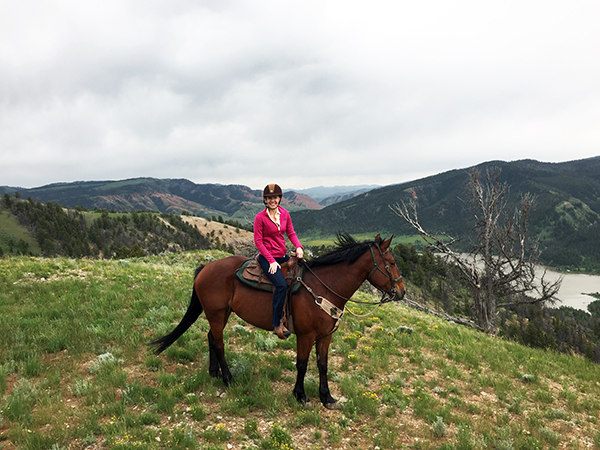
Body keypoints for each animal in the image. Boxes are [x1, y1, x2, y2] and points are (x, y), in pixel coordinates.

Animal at [150, 234, 406, 410]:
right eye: (392, 263)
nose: (402, 291)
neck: (324, 287)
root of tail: (206, 267)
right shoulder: (306, 335)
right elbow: (302, 364)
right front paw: (300, 396)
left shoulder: (326, 335)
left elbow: (323, 365)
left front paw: (327, 397)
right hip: (215, 313)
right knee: (219, 343)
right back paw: (228, 379)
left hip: (222, 314)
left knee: (211, 337)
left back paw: (214, 372)